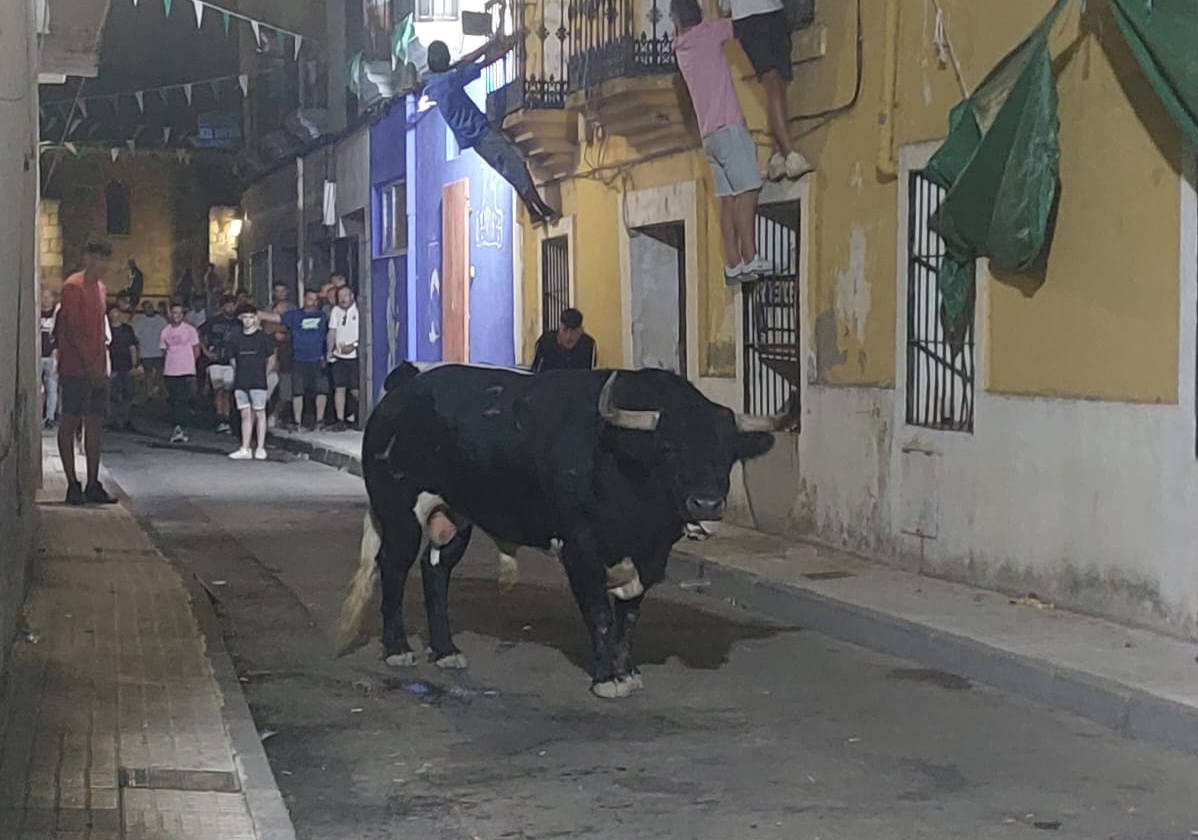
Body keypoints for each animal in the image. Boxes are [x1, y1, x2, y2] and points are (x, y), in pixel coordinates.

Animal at [335, 364, 795, 699]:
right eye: (669, 447)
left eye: (728, 453)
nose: (707, 504)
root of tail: (403, 389)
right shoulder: (581, 549)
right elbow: (600, 614)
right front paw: (607, 678)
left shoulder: (647, 558)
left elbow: (629, 615)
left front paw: (627, 671)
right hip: (399, 512)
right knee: (394, 568)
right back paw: (398, 650)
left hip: (455, 515)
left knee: (436, 572)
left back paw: (447, 651)